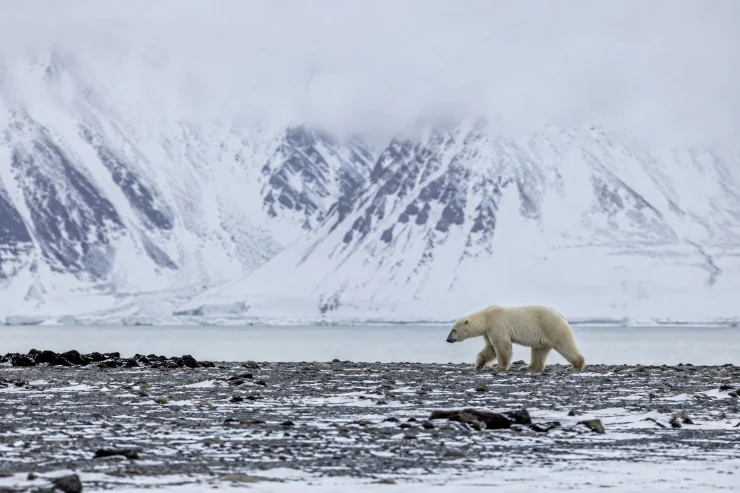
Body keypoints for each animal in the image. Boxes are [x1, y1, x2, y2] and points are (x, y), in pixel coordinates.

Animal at [445, 304, 585, 373]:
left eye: (454, 330)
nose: (448, 339)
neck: (486, 317)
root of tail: (561, 316)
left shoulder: (497, 324)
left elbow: (502, 345)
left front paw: (499, 367)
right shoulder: (488, 331)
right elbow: (490, 348)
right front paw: (479, 365)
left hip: (551, 327)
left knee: (565, 345)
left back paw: (575, 366)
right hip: (543, 335)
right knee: (538, 351)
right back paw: (528, 367)